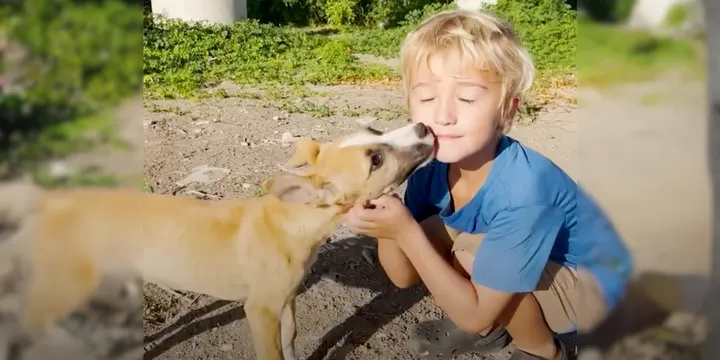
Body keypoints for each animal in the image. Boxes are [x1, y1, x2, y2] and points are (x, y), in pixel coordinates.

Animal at [0, 122, 436, 360]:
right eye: (375, 159)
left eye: (375, 132)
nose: (424, 128)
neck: (292, 220)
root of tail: (49, 198)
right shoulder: (259, 310)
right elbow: (271, 353)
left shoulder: (288, 299)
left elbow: (291, 340)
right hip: (63, 287)